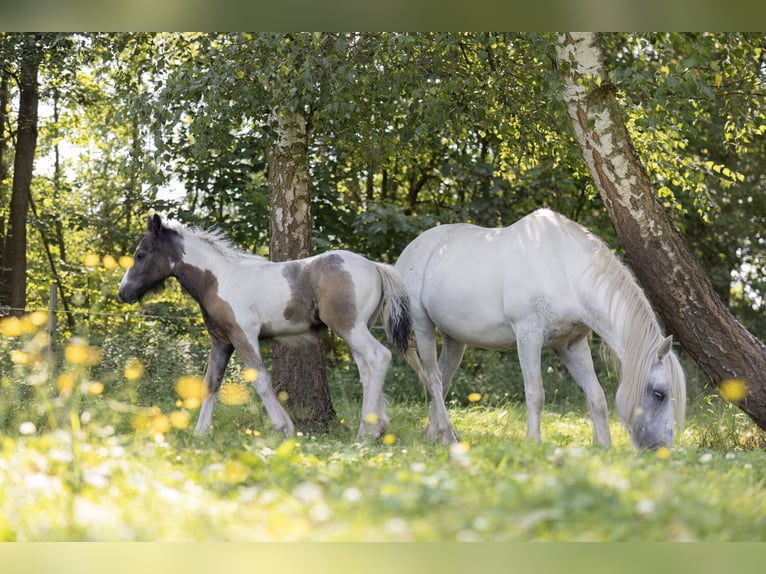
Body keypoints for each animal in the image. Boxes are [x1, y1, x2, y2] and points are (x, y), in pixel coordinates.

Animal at [117, 216, 412, 440]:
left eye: (141, 254)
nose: (123, 293)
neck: (218, 280)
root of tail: (373, 266)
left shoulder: (243, 335)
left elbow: (259, 379)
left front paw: (285, 427)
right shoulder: (221, 342)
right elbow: (211, 383)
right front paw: (200, 434)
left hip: (350, 328)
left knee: (379, 357)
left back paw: (368, 433)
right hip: (357, 330)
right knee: (367, 371)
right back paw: (372, 428)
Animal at [400, 209, 688, 452]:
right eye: (660, 394)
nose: (662, 450)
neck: (564, 270)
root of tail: (412, 248)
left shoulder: (572, 344)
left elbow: (596, 396)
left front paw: (603, 447)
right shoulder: (529, 338)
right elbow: (535, 394)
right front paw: (533, 442)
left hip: (454, 339)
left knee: (443, 378)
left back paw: (433, 434)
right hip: (423, 326)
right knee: (433, 378)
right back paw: (447, 435)